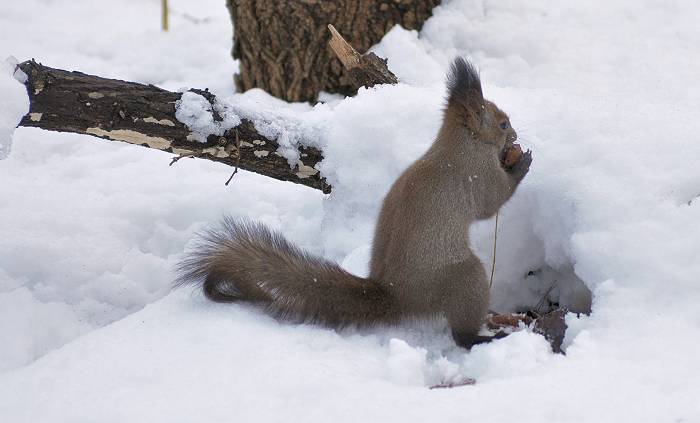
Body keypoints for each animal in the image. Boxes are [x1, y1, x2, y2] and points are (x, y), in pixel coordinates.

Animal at [175, 58, 532, 350]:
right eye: (501, 123)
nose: (515, 135)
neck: (460, 143)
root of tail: (397, 296)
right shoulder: (477, 175)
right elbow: (493, 201)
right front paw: (522, 163)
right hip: (465, 278)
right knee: (461, 335)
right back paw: (486, 335)